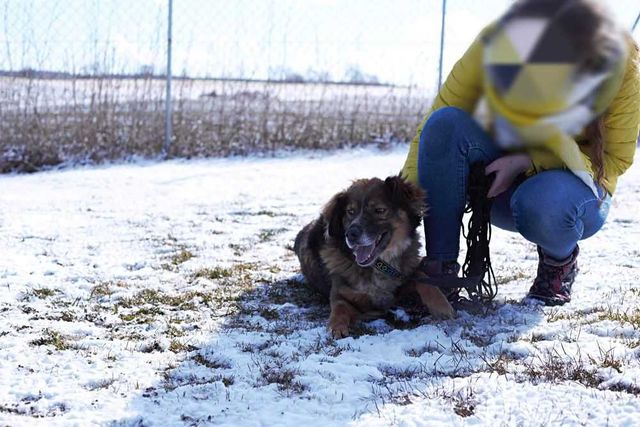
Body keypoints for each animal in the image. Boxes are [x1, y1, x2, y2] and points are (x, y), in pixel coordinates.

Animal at [296, 176, 456, 340]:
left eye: (379, 210)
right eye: (350, 212)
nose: (351, 234)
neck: (380, 265)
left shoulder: (404, 275)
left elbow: (423, 278)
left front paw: (442, 306)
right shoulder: (340, 294)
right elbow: (340, 308)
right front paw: (336, 327)